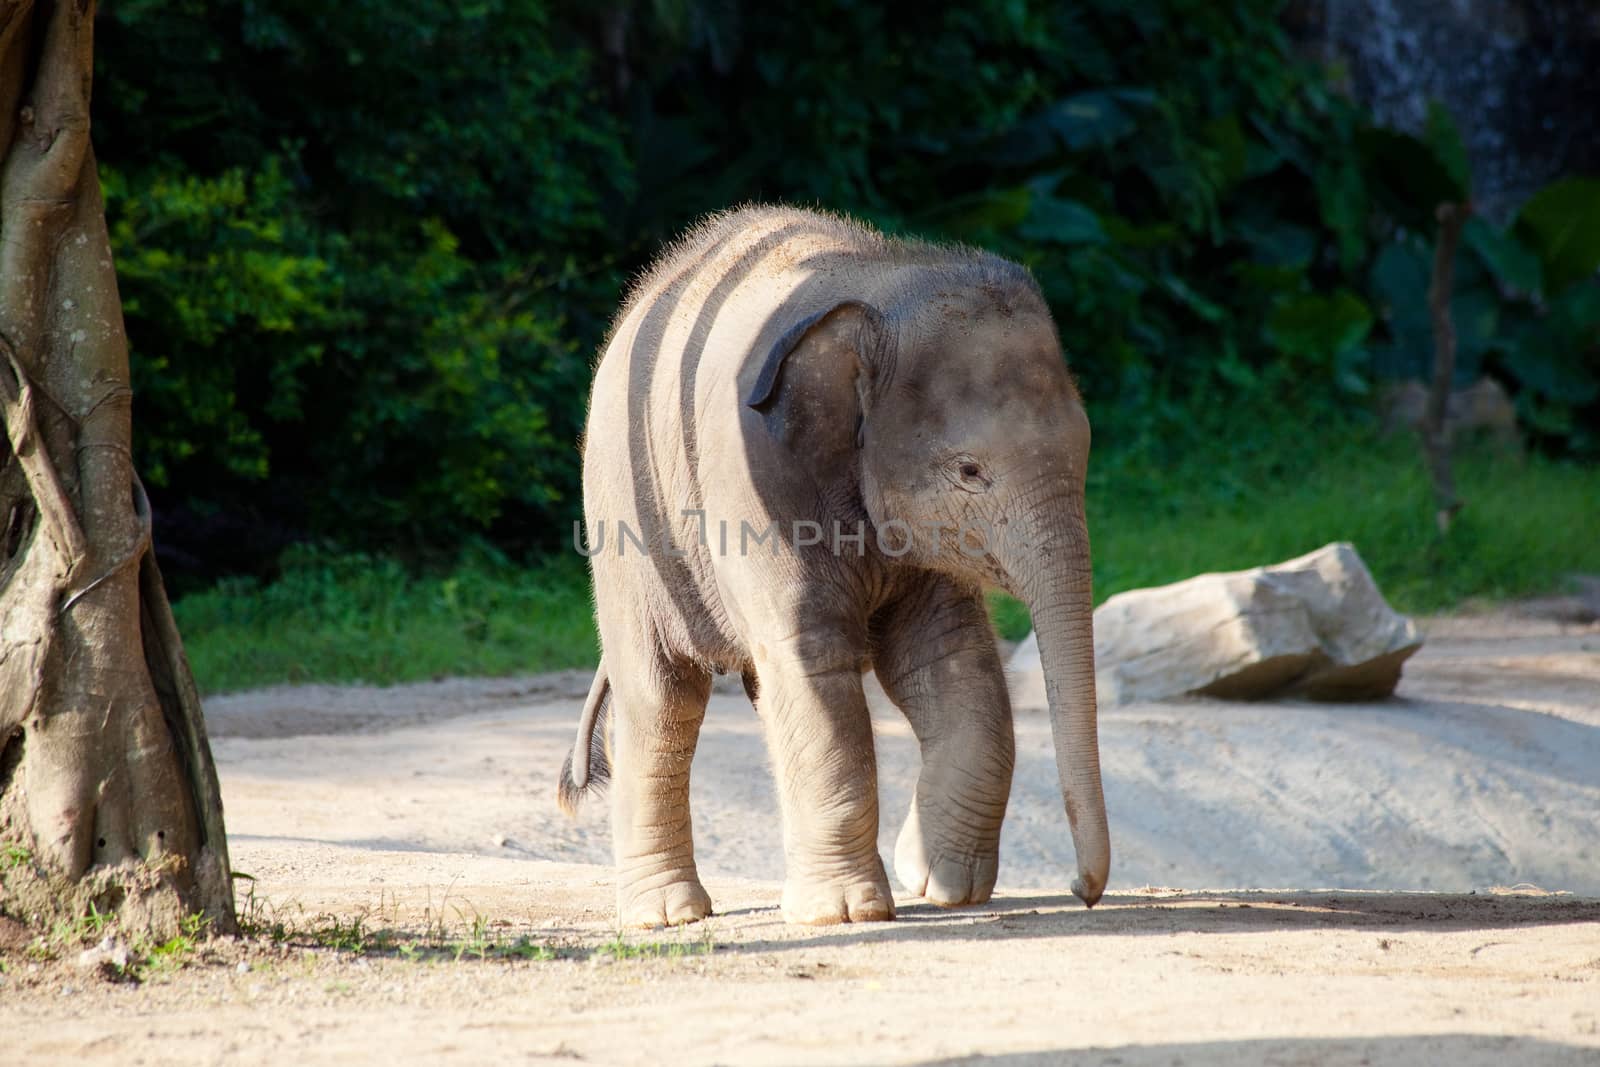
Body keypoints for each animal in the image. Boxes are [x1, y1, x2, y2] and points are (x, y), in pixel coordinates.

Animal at [556, 206, 1107, 927]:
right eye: (969, 471)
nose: (1081, 889)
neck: (885, 285)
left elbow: (951, 658)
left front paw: (938, 883)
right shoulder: (756, 480)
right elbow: (816, 661)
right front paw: (847, 913)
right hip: (623, 515)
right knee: (662, 693)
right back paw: (669, 914)